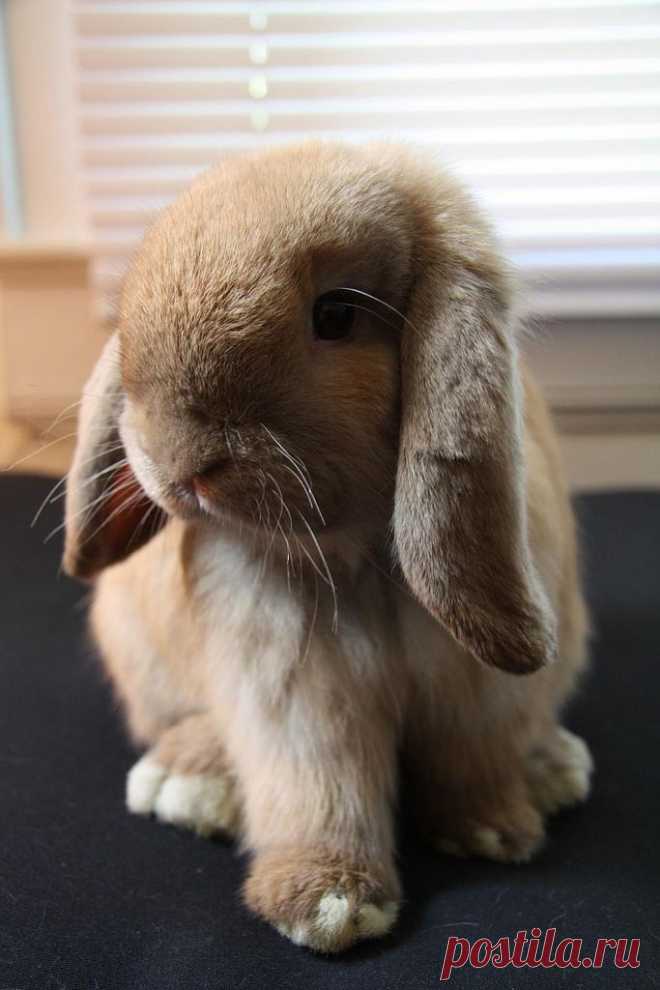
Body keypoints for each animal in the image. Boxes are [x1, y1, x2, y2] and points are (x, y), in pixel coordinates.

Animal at [63, 141, 593, 954]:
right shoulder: (293, 686)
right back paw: (187, 781)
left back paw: (551, 766)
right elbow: (317, 782)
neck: (359, 555)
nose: (177, 460)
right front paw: (327, 903)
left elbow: (473, 756)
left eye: (336, 316)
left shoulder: (477, 689)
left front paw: (492, 829)